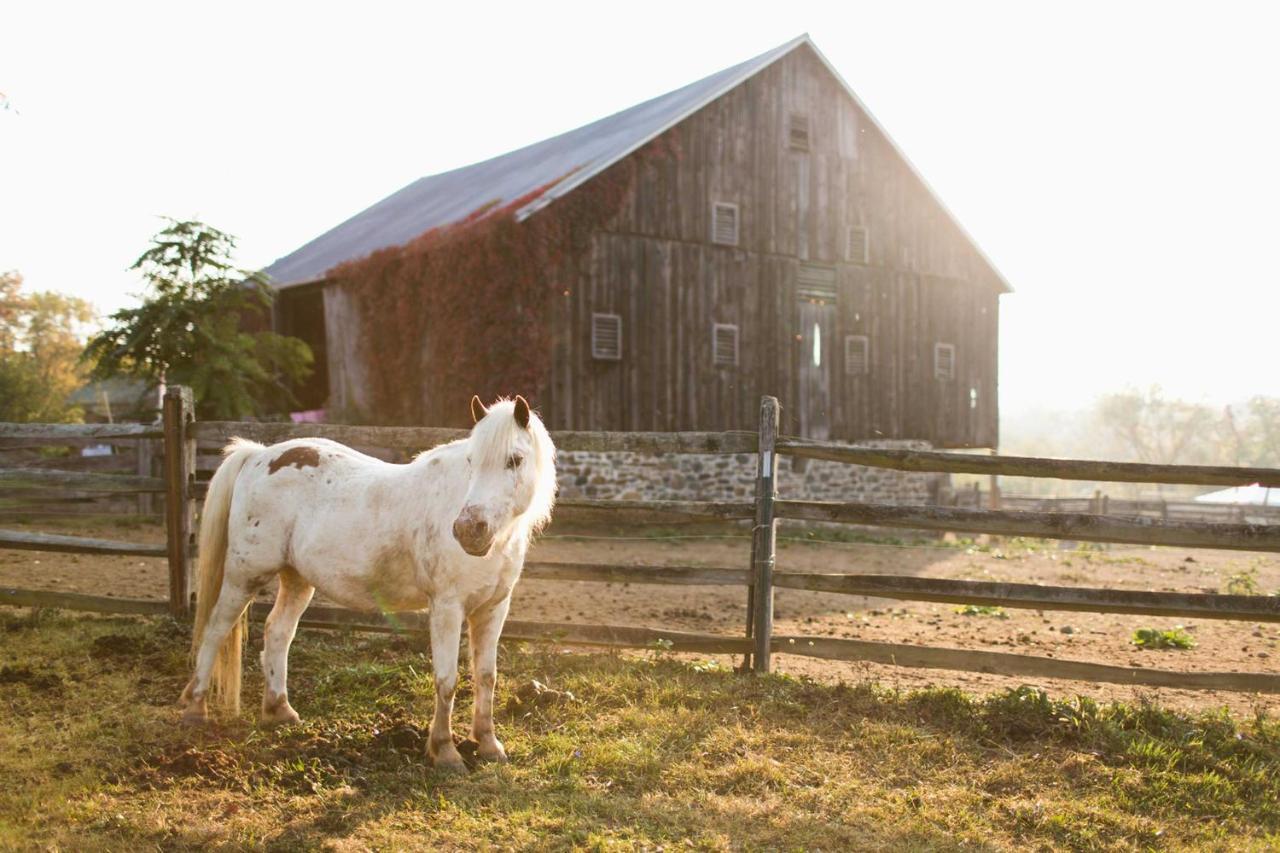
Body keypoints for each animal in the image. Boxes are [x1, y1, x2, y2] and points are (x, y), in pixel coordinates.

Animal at [176, 394, 555, 768]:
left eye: (514, 460)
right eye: (471, 461)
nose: (467, 531)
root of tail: (258, 455)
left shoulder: (492, 608)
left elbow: (487, 677)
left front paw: (489, 745)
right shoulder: (447, 608)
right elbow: (447, 680)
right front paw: (445, 751)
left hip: (297, 580)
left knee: (278, 631)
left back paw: (279, 710)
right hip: (244, 576)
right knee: (215, 629)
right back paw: (196, 707)